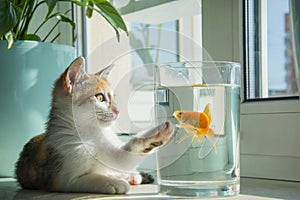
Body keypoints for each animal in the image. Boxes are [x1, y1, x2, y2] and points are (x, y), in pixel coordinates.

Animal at [14, 56, 173, 194]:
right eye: (100, 97)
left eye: (113, 97)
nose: (118, 110)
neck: (91, 134)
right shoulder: (62, 178)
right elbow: (89, 178)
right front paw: (111, 182)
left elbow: (124, 157)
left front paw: (155, 134)